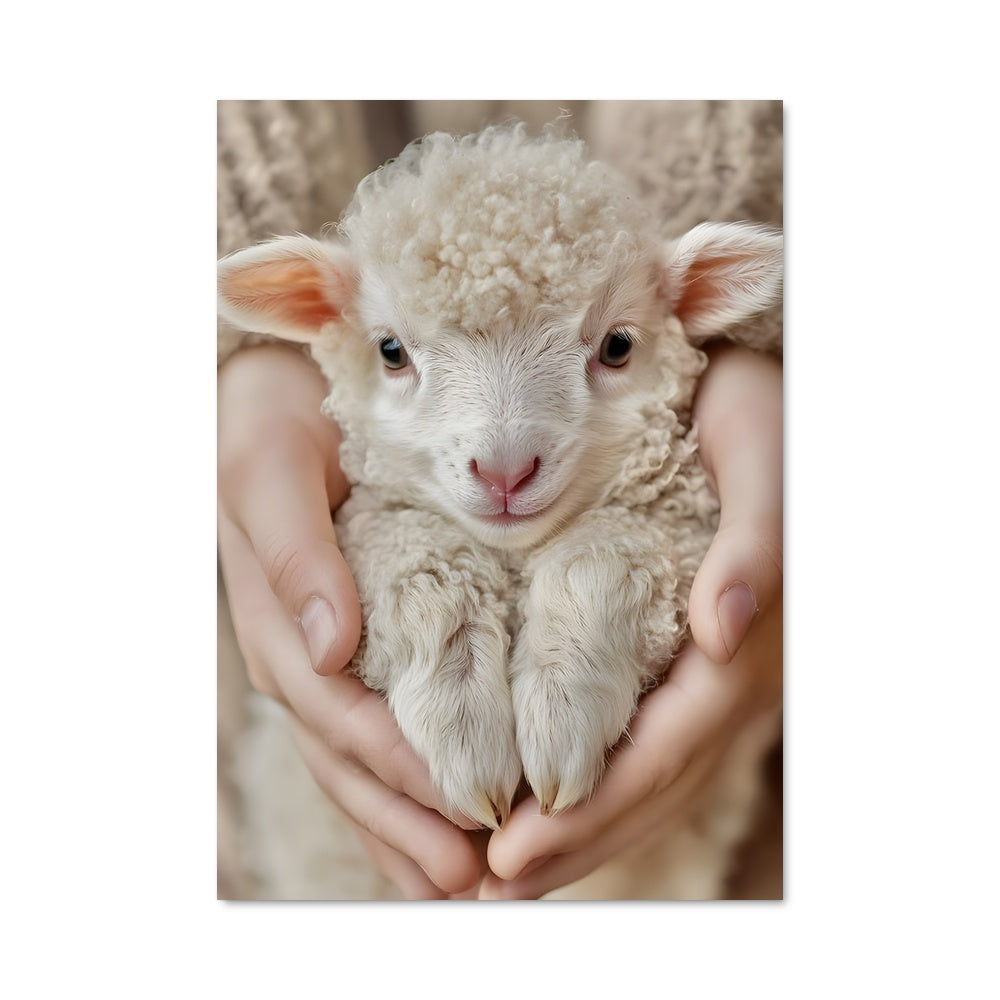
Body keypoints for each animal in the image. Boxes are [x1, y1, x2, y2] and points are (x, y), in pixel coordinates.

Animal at [217, 123, 782, 840]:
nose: (505, 471)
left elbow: (604, 559)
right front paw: (462, 726)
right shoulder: (377, 518)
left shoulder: (674, 526)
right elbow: (420, 567)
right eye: (391, 351)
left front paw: (562, 713)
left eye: (618, 346)